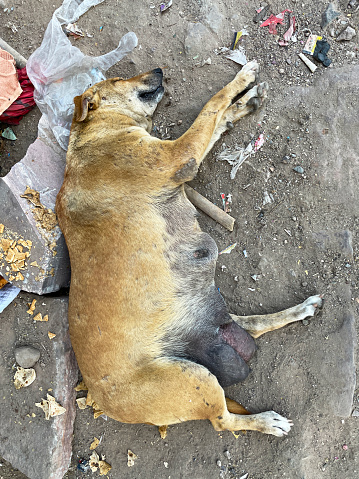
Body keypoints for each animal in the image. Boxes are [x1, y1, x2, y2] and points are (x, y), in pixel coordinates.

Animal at [56, 62, 324, 436]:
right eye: (118, 79)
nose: (158, 69)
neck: (95, 135)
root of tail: (100, 401)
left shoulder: (186, 153)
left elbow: (218, 120)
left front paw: (245, 103)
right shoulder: (181, 154)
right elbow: (213, 105)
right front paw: (242, 80)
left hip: (216, 327)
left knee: (256, 325)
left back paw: (300, 310)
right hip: (194, 378)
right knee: (223, 422)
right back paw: (267, 422)